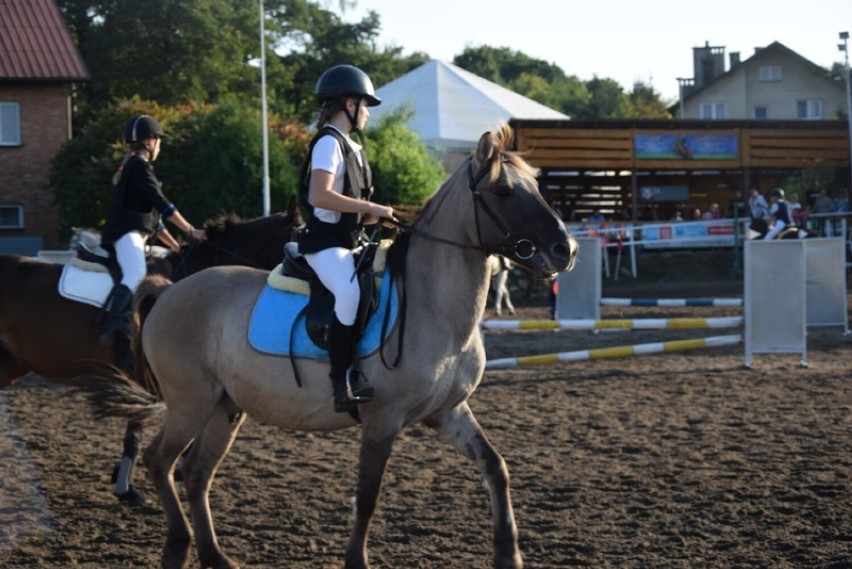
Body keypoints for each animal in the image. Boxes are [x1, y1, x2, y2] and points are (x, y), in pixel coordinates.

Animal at [83, 125, 576, 568]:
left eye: (536, 187)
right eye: (504, 191)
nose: (566, 249)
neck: (434, 307)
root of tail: (169, 290)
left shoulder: (447, 412)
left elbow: (496, 466)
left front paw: (509, 554)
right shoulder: (382, 419)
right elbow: (368, 495)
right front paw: (356, 561)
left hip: (224, 408)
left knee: (196, 473)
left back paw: (213, 556)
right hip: (190, 403)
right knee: (160, 462)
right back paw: (178, 546)